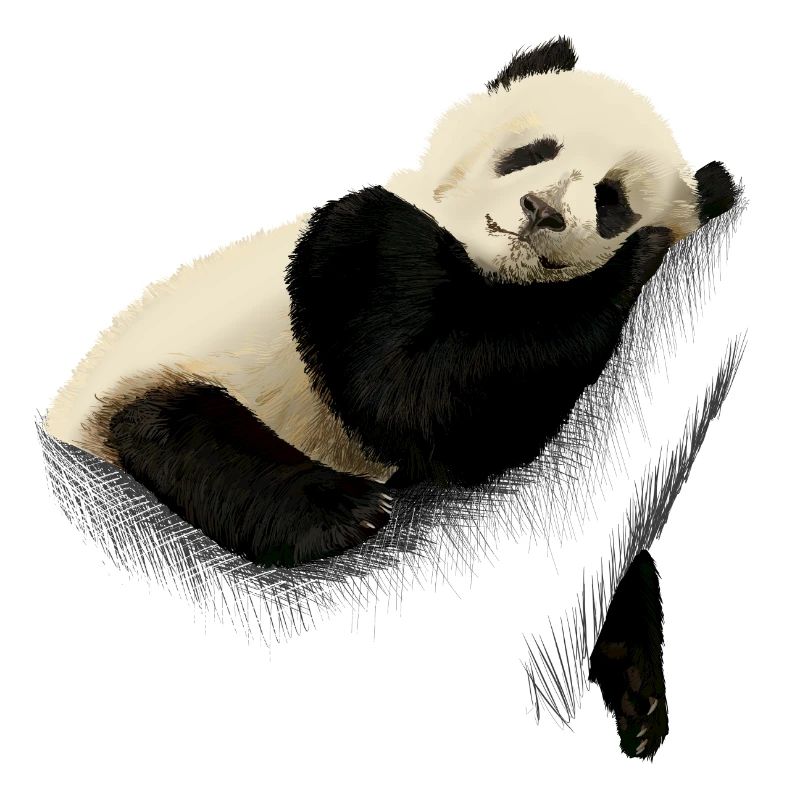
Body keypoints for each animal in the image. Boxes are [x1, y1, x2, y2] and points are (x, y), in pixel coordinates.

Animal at [45, 36, 736, 571]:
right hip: (160, 377)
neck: (484, 265)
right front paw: (635, 260)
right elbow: (412, 393)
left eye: (611, 199)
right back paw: (339, 509)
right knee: (178, 430)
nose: (541, 210)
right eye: (534, 151)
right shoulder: (353, 242)